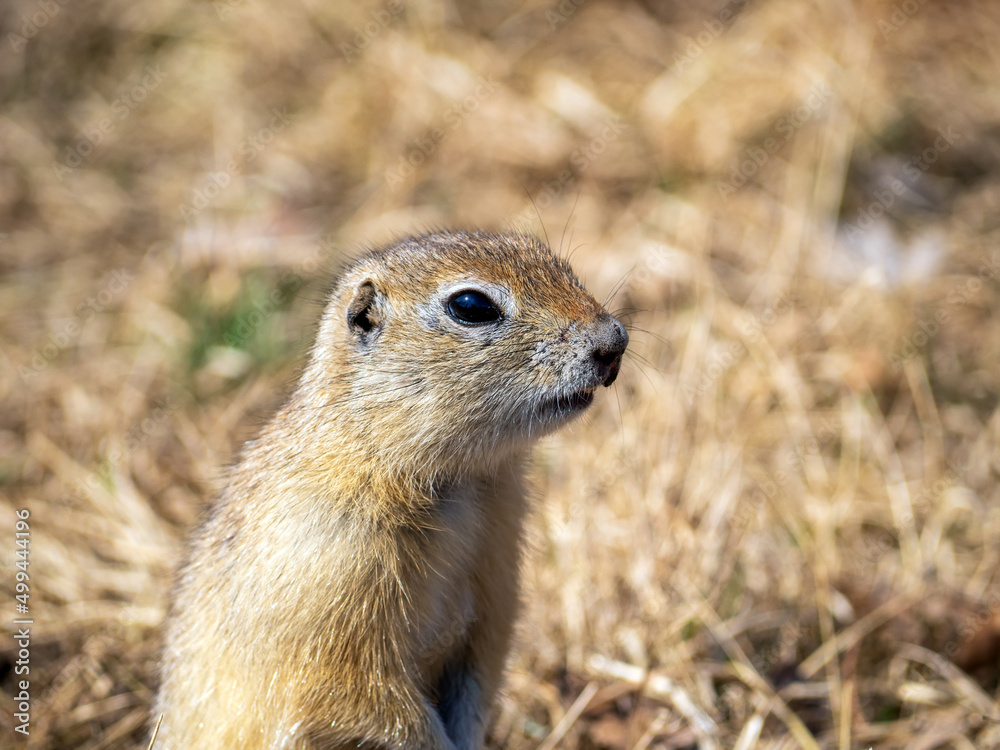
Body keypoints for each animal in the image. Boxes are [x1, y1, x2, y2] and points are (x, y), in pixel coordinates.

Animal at [153, 232, 628, 748]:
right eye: (471, 306)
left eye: (554, 259)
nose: (615, 341)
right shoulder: (332, 593)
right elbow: (365, 701)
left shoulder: (494, 587)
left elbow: (477, 681)